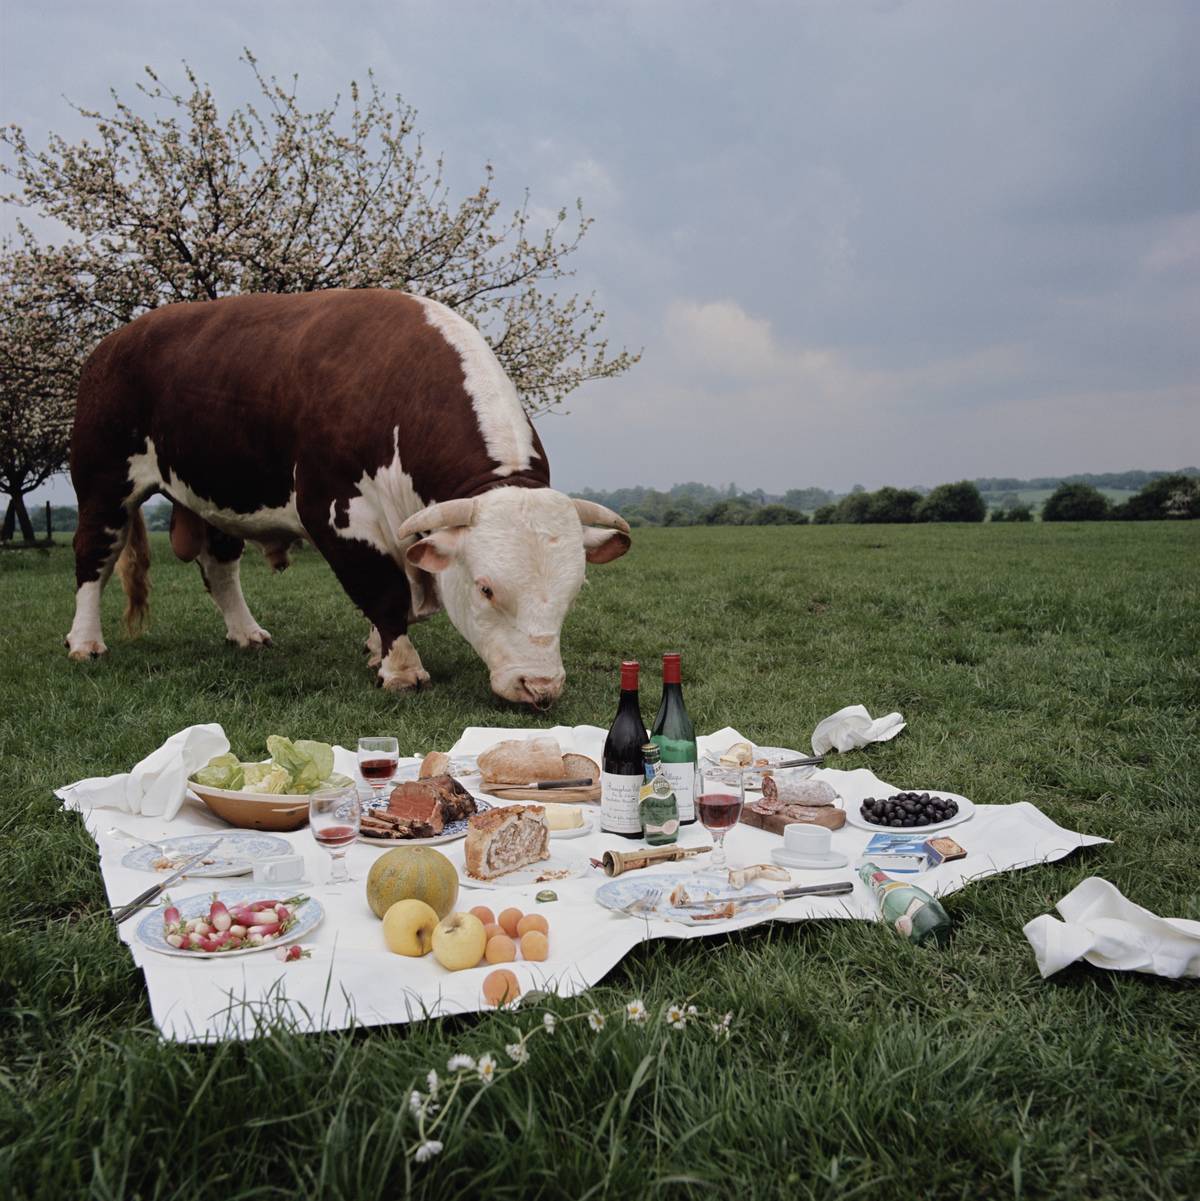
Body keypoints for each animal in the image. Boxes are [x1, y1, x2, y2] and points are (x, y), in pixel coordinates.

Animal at [65, 290, 630, 705]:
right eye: (487, 589)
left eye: (574, 591)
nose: (540, 686)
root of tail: (115, 341)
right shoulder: (335, 512)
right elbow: (383, 591)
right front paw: (401, 668)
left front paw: (376, 650)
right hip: (103, 482)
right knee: (93, 557)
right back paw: (85, 642)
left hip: (218, 494)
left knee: (220, 566)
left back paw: (246, 633)